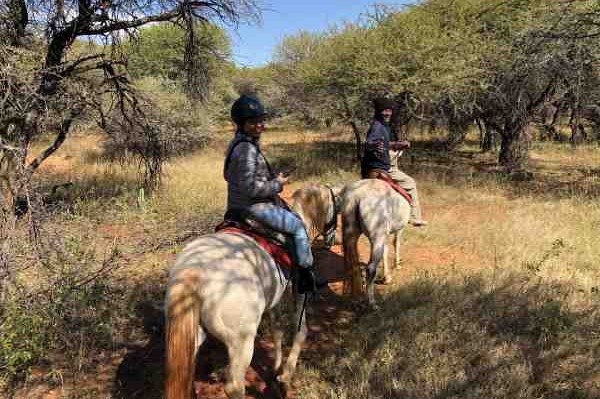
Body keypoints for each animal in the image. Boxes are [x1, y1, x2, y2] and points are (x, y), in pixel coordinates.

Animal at [164, 184, 342, 399]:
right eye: (337, 208)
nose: (334, 240)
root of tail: (193, 271)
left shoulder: (274, 299)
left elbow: (277, 330)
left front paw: (276, 369)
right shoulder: (299, 289)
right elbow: (301, 330)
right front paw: (285, 377)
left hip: (192, 336)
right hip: (241, 342)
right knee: (234, 386)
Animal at [340, 180, 410, 310]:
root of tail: (356, 196)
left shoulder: (384, 236)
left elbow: (385, 252)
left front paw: (387, 278)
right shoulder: (398, 229)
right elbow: (396, 243)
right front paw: (397, 265)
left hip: (353, 234)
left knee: (352, 265)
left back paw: (355, 299)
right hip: (377, 238)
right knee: (370, 268)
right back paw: (372, 304)